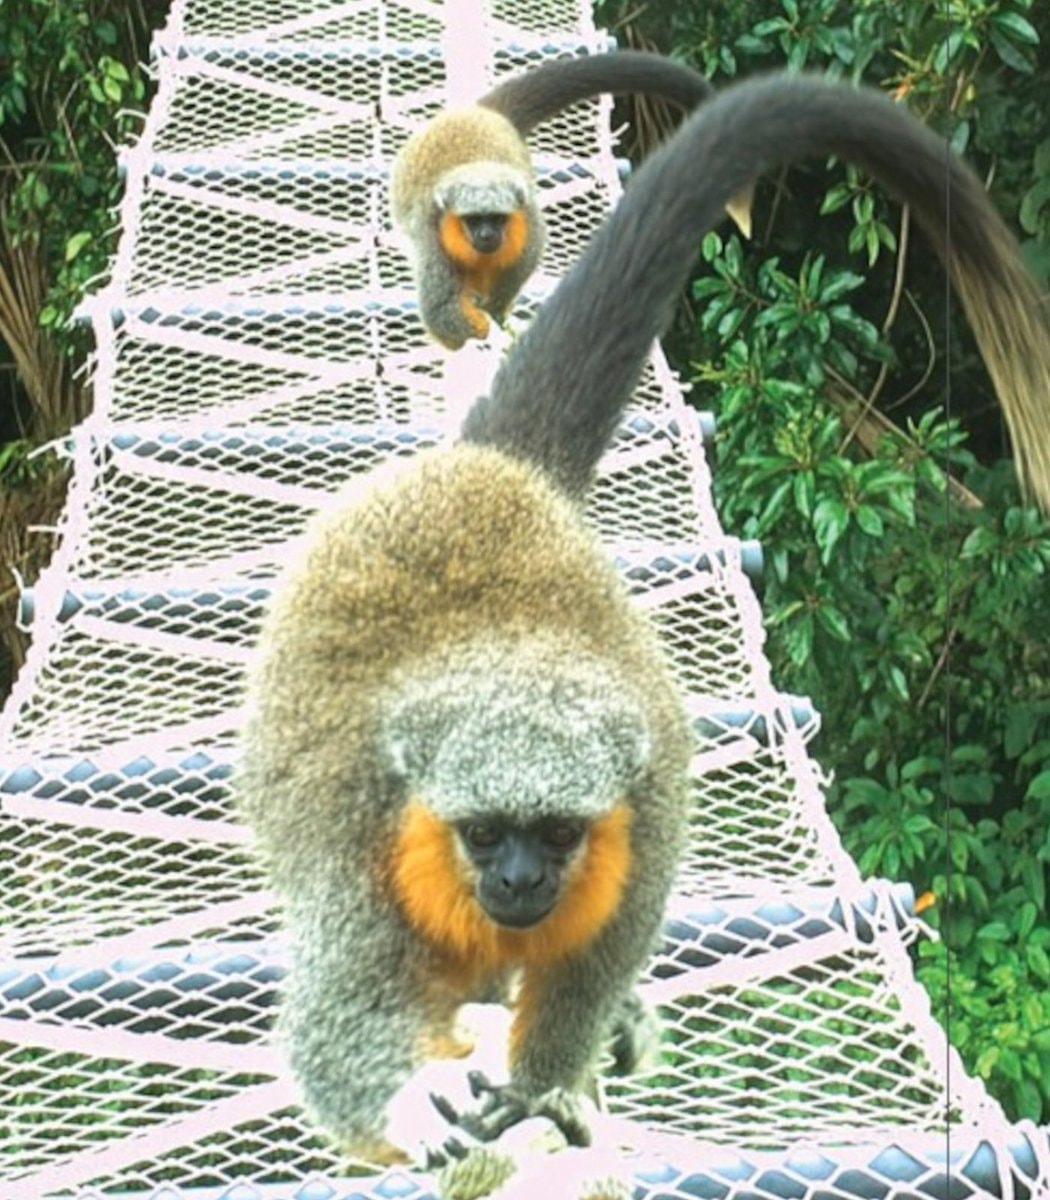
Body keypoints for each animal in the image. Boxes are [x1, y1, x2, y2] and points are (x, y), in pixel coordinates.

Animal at [390, 50, 751, 350]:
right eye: (474, 221)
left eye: (497, 219)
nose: (487, 235)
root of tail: (480, 115)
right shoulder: (432, 234)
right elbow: (438, 309)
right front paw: (475, 326)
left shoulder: (526, 220)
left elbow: (526, 260)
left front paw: (494, 312)